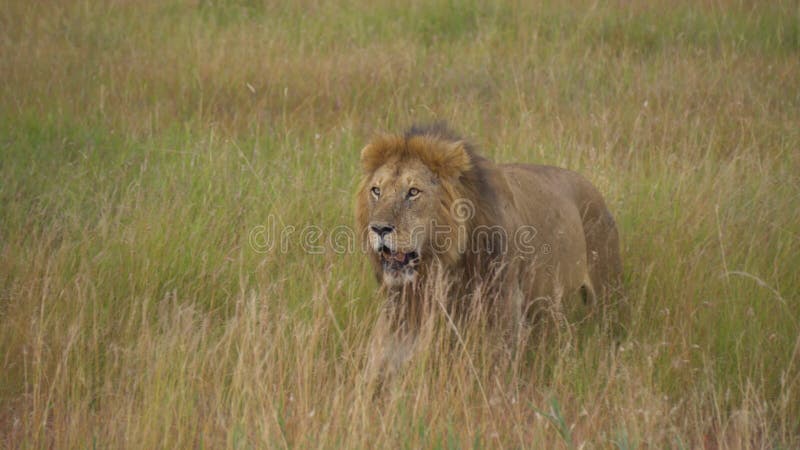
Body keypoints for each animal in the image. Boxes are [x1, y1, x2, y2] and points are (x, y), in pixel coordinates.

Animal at [356, 122, 624, 376]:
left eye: (413, 192)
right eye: (376, 191)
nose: (378, 228)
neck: (442, 266)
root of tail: (593, 189)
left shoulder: (502, 317)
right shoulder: (401, 313)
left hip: (608, 293)